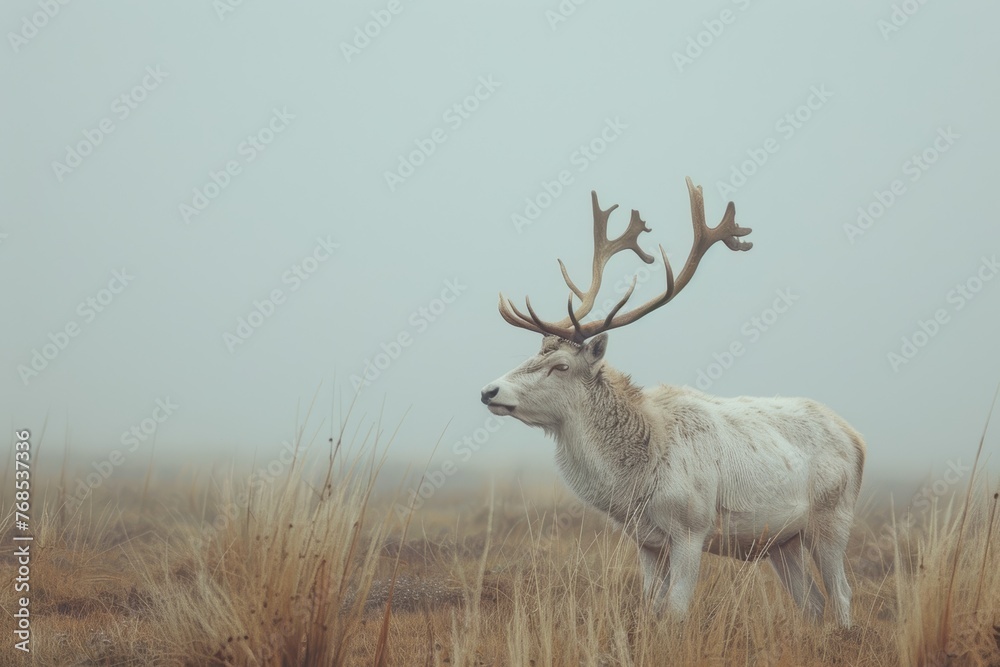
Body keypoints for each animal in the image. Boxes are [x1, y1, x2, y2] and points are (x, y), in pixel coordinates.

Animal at [480, 178, 866, 628]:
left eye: (560, 366)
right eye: (532, 354)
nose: (489, 391)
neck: (635, 482)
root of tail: (858, 440)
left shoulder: (690, 529)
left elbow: (677, 611)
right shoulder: (646, 541)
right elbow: (652, 607)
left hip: (832, 520)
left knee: (842, 595)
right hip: (780, 541)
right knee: (814, 603)